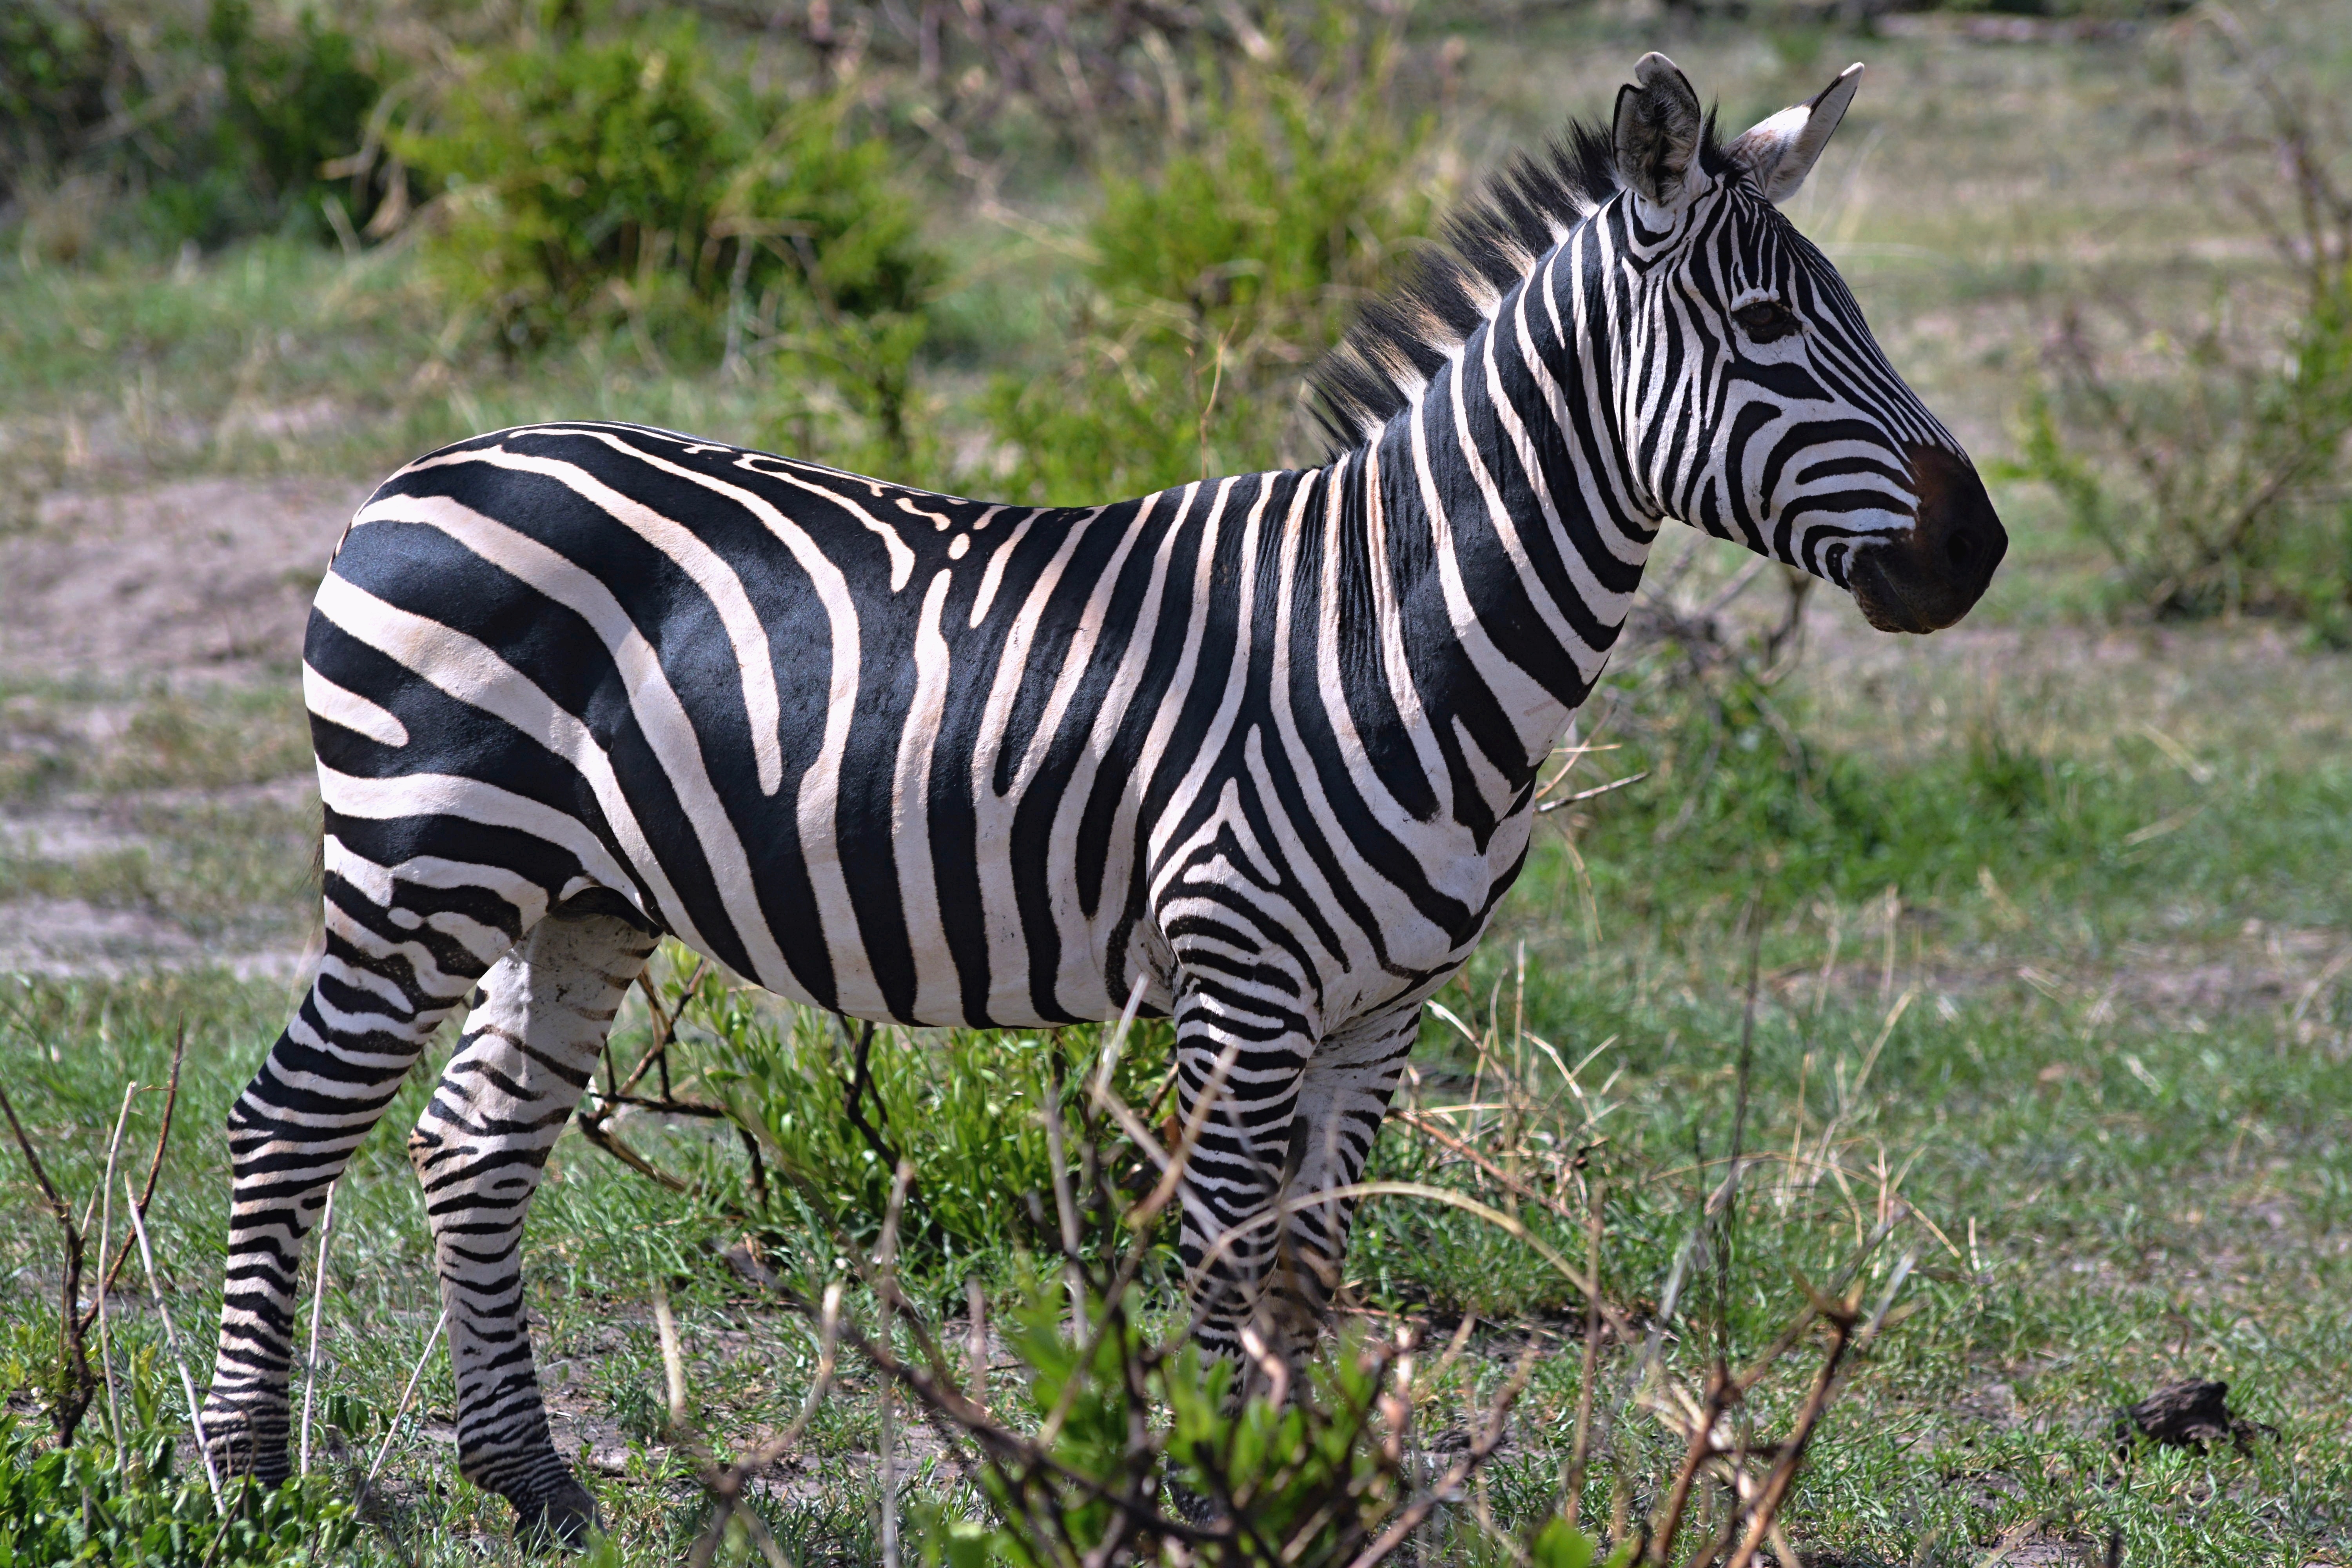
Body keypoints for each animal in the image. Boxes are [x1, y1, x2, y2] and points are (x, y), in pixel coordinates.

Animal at [198, 52, 2004, 1542]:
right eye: (1768, 333)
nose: (1978, 549)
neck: (1381, 626)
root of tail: (413, 474)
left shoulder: (1382, 1011)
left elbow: (1307, 1270)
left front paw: (1306, 1494)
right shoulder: (1241, 982)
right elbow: (1217, 1270)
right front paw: (1214, 1500)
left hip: (571, 896)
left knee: (471, 1144)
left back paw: (534, 1483)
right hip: (424, 861)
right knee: (288, 1122)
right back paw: (250, 1479)